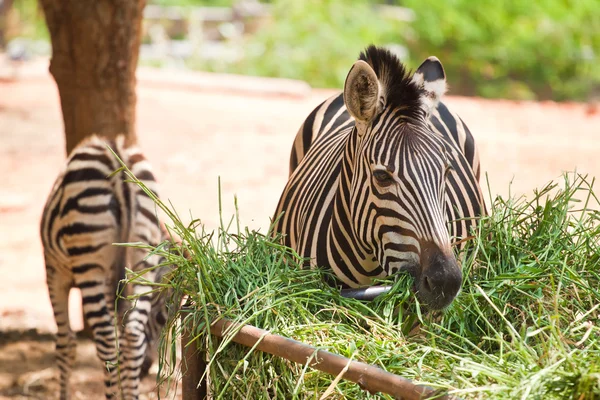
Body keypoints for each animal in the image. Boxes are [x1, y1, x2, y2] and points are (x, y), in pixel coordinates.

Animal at [39, 135, 171, 400]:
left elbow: (65, 344)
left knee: (107, 340)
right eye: (162, 318)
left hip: (89, 262)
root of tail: (117, 158)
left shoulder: (54, 271)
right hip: (142, 260)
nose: (146, 370)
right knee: (132, 336)